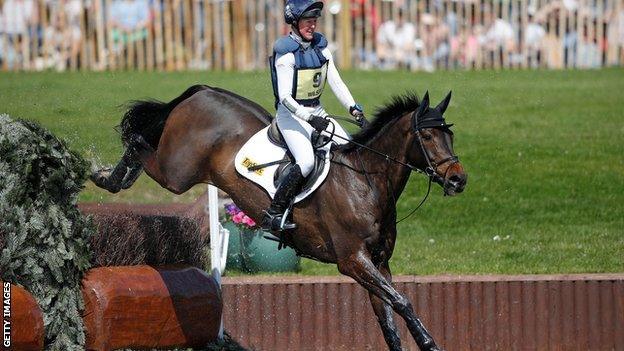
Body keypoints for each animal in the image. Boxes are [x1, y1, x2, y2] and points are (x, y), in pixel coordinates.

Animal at [90, 85, 466, 351]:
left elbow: (389, 317)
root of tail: (204, 91)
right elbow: (401, 301)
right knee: (140, 142)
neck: (366, 182)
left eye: (449, 134)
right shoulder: (352, 261)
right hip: (176, 173)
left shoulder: (378, 263)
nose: (458, 180)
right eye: (428, 136)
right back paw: (106, 176)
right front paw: (430, 343)